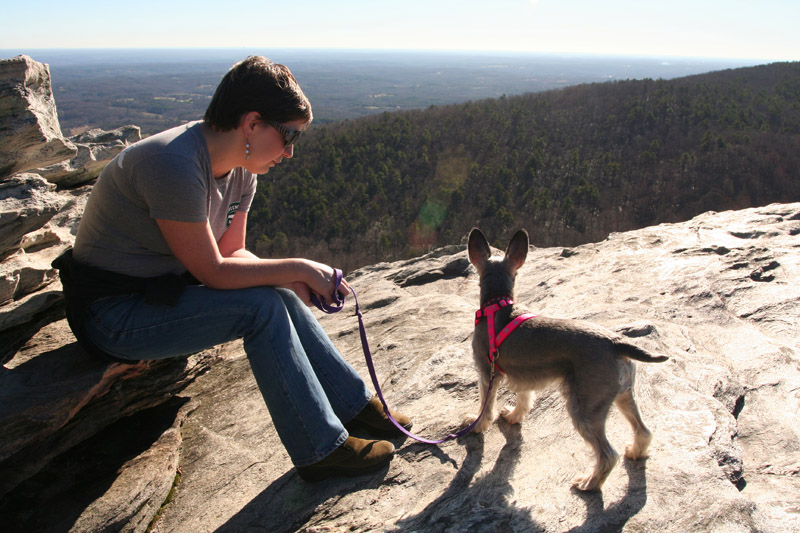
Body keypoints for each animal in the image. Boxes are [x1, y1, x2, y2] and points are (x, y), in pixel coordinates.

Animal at [466, 227, 664, 488]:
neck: (497, 304)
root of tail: (615, 342)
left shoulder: (486, 372)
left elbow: (485, 407)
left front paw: (476, 425)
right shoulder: (524, 375)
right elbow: (524, 399)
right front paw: (514, 417)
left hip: (585, 408)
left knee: (607, 454)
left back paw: (589, 483)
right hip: (623, 396)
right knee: (644, 430)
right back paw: (635, 452)